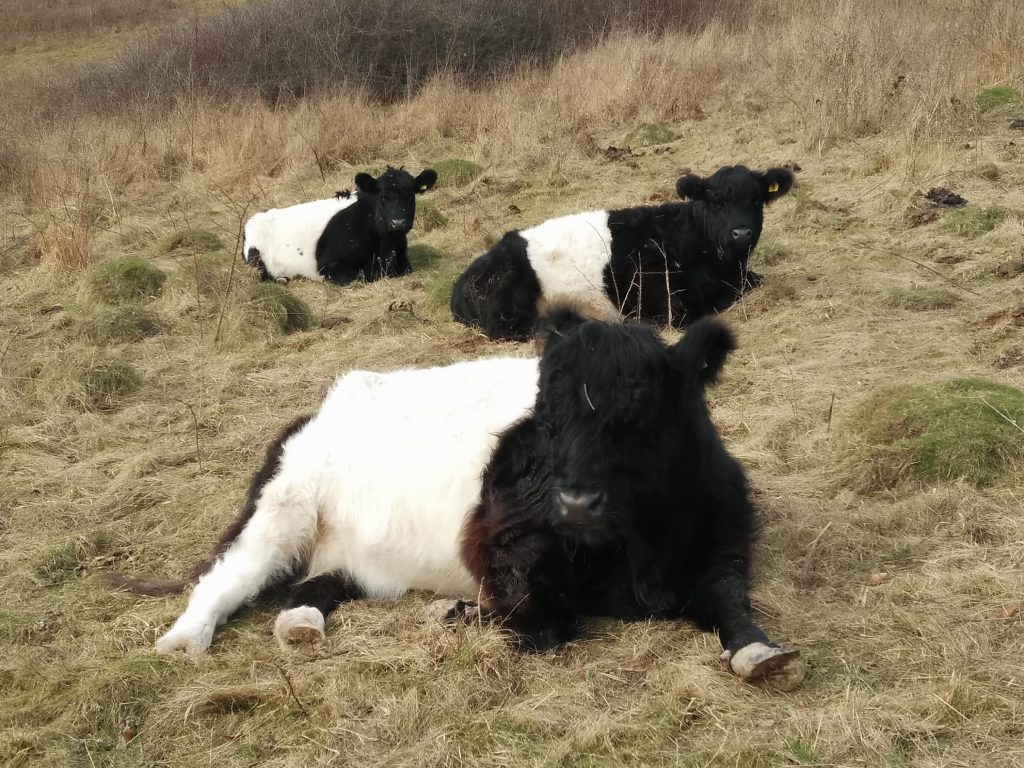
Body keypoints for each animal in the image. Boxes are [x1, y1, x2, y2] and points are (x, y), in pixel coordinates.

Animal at [102, 308, 802, 689]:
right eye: (547, 418)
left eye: (646, 414)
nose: (574, 505)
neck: (643, 560)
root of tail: (323, 405)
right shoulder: (508, 544)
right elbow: (542, 620)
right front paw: (454, 613)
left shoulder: (724, 546)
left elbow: (731, 602)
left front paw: (762, 652)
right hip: (283, 510)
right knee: (226, 576)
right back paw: (185, 639)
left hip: (351, 552)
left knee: (316, 584)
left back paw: (301, 623)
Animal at [242, 166, 438, 285]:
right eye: (382, 197)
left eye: (410, 195)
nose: (398, 222)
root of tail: (253, 218)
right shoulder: (329, 267)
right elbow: (360, 276)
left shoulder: (403, 261)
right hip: (256, 259)